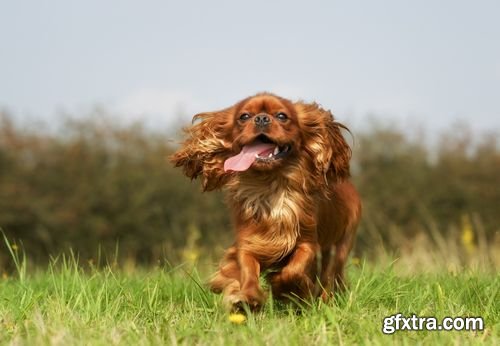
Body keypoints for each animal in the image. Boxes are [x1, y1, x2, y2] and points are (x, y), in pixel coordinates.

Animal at [172, 92, 360, 310]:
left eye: (282, 116)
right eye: (244, 116)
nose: (261, 118)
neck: (269, 187)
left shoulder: (307, 243)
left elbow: (294, 269)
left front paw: (283, 287)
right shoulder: (249, 243)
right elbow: (247, 271)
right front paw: (246, 298)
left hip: (340, 247)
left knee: (329, 278)